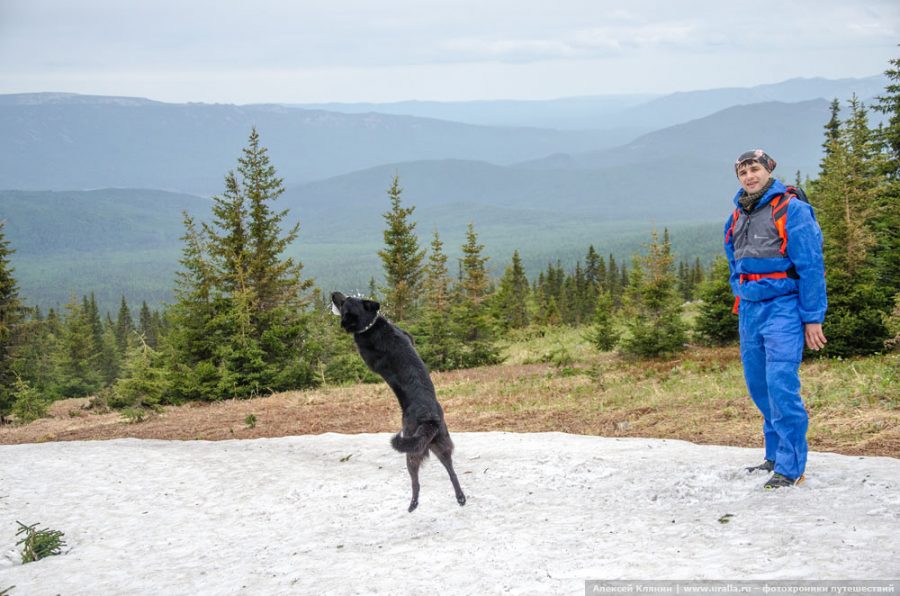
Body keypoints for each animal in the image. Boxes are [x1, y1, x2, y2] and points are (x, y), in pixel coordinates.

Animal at [332, 292, 472, 510]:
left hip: (410, 450)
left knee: (416, 480)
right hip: (441, 446)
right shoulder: (407, 336)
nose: (333, 294)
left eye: (343, 301)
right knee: (452, 472)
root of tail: (430, 418)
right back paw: (460, 497)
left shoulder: (368, 359)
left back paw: (413, 503)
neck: (370, 324)